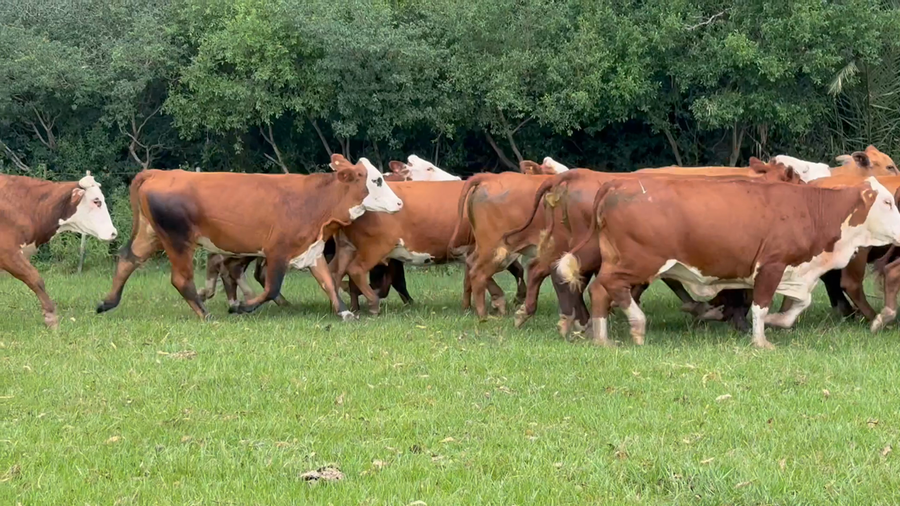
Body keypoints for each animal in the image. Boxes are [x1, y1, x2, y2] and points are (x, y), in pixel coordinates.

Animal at [96, 155, 402, 320]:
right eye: (376, 180)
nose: (400, 203)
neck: (316, 201)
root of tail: (159, 173)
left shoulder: (311, 250)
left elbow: (328, 284)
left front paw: (344, 312)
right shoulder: (277, 251)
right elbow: (272, 288)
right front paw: (243, 307)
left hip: (151, 234)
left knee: (127, 259)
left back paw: (108, 301)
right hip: (177, 240)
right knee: (181, 279)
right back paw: (205, 313)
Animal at [556, 176, 900, 349]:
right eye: (887, 201)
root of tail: (617, 184)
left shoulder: (795, 272)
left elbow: (799, 304)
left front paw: (778, 322)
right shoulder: (770, 265)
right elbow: (760, 305)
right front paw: (761, 340)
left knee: (598, 290)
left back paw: (602, 337)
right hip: (640, 260)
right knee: (606, 285)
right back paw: (636, 324)